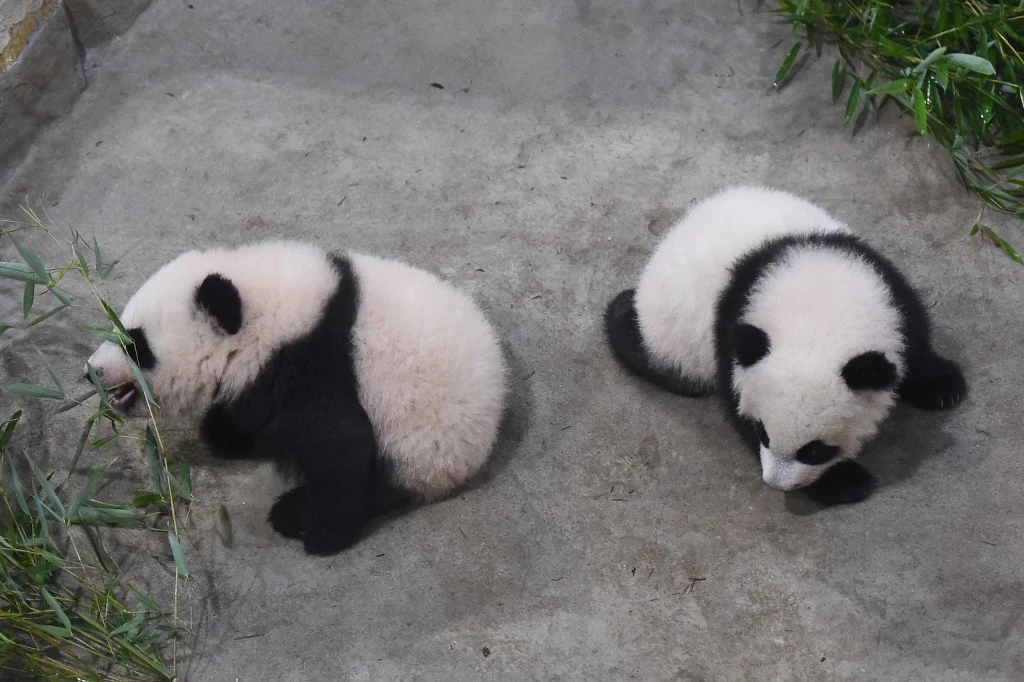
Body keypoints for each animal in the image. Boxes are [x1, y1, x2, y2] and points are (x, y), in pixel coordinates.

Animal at [87, 240, 508, 555]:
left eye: (136, 344)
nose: (91, 370)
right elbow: (254, 417)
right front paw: (222, 433)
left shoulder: (312, 364)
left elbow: (343, 445)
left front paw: (324, 535)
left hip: (423, 440)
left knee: (383, 481)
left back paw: (292, 513)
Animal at [604, 186, 967, 505]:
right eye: (762, 432)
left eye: (815, 450)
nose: (777, 484)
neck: (820, 312)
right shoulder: (733, 334)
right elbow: (733, 400)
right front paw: (844, 483)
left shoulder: (885, 286)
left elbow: (913, 339)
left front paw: (943, 386)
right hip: (672, 334)